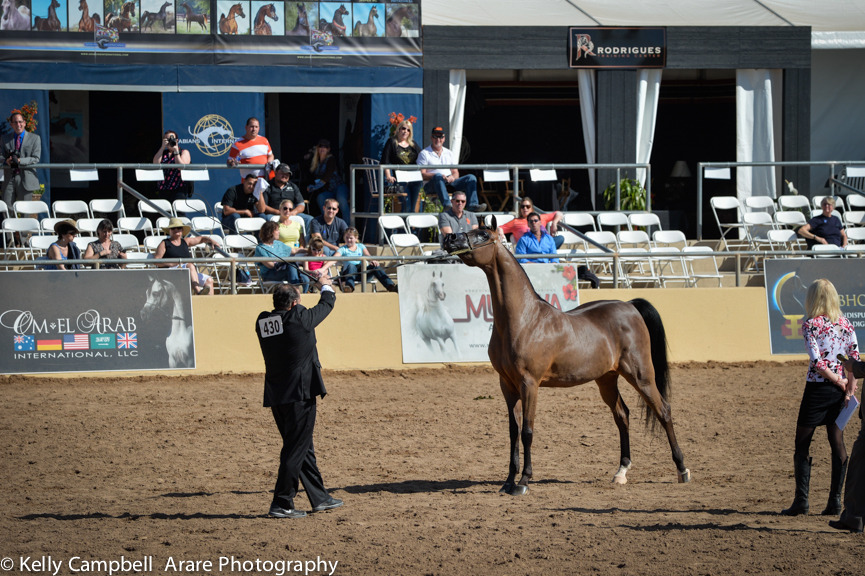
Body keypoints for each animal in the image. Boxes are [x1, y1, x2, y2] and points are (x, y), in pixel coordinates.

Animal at [442, 219, 690, 496]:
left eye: (483, 234)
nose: (450, 239)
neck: (524, 319)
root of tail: (630, 305)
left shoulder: (529, 384)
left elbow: (527, 431)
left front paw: (524, 481)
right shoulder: (507, 385)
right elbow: (513, 432)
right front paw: (507, 482)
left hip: (641, 376)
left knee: (663, 411)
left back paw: (682, 469)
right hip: (607, 379)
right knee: (622, 415)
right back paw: (621, 472)